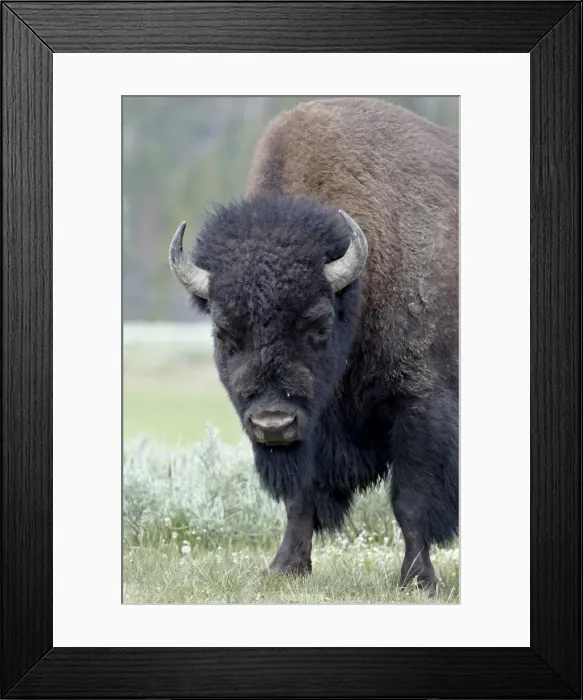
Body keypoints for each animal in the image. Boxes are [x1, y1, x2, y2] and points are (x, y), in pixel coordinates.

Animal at [170, 98, 458, 592]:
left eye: (319, 324)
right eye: (224, 332)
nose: (272, 423)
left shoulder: (420, 406)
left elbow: (411, 500)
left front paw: (418, 581)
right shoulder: (311, 427)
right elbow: (301, 498)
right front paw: (285, 567)